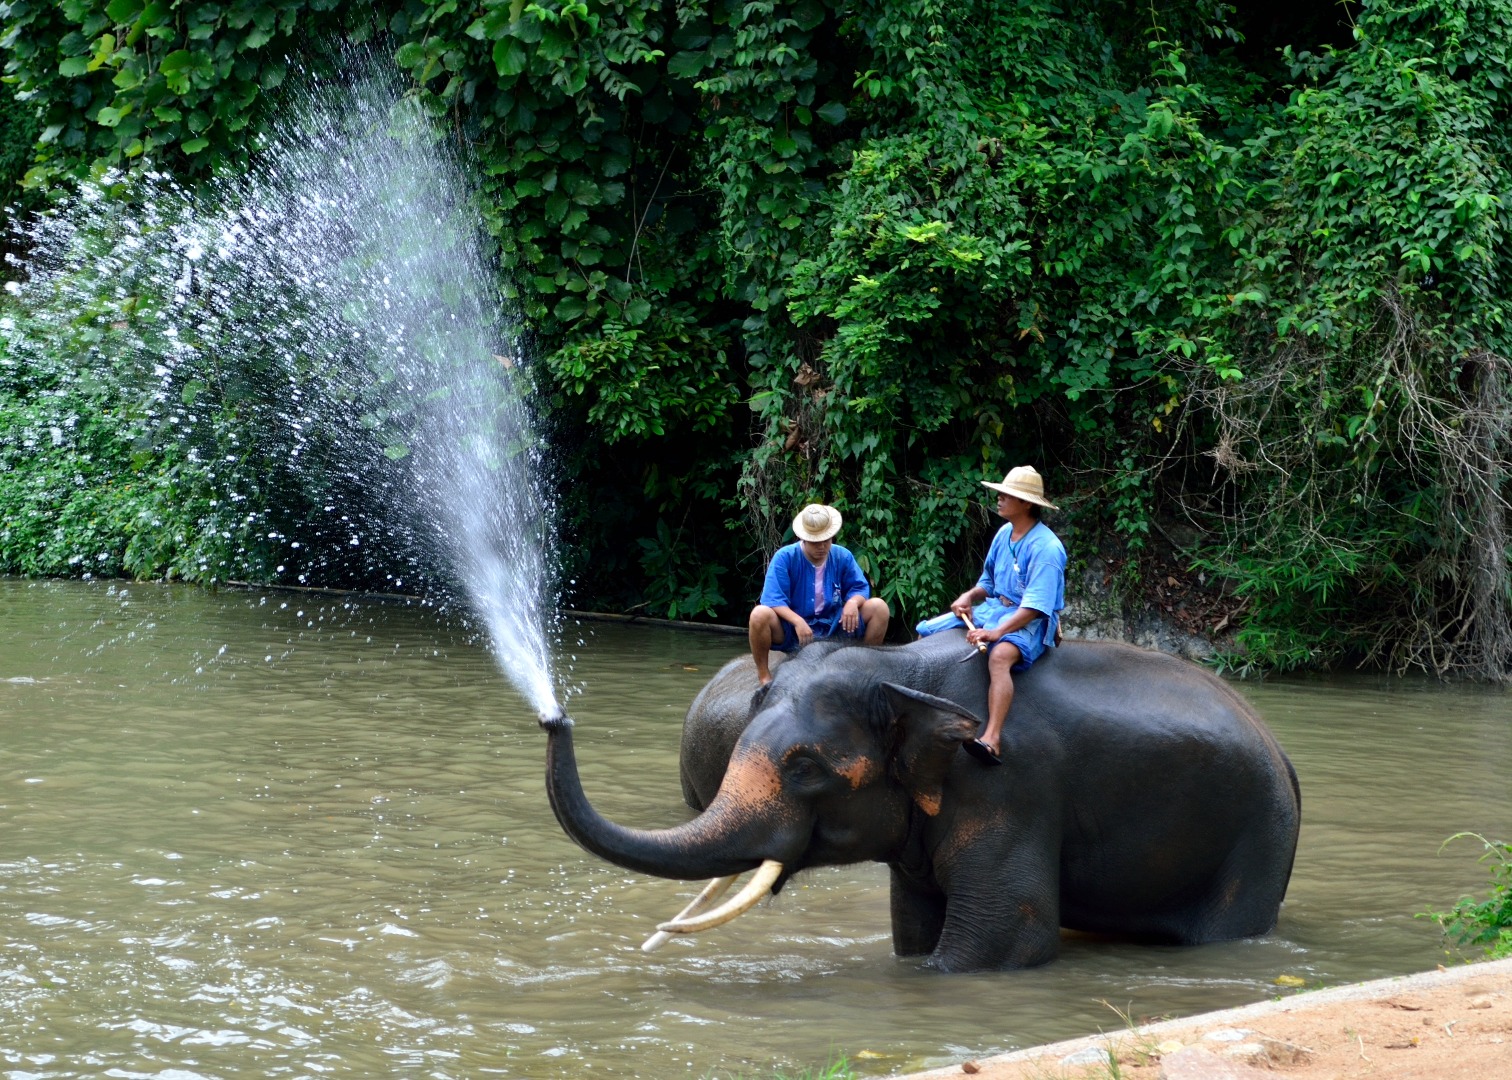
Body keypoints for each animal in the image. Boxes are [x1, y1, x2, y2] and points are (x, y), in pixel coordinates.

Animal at [541, 626, 1300, 974]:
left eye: (805, 768)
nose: (555, 718)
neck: (899, 669)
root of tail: (1281, 748)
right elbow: (912, 932)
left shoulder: (1008, 788)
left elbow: (1003, 943)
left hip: (1259, 837)